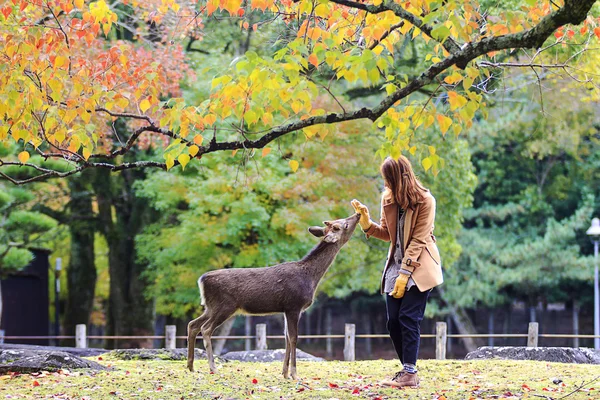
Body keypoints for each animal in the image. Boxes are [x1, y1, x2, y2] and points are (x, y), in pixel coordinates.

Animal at [185, 212, 358, 378]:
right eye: (344, 224)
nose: (357, 215)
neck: (310, 278)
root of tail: (202, 280)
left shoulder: (286, 309)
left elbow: (286, 337)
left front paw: (285, 373)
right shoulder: (294, 305)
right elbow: (294, 338)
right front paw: (295, 374)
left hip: (210, 307)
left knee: (193, 324)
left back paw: (191, 366)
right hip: (225, 305)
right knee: (206, 329)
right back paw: (213, 367)